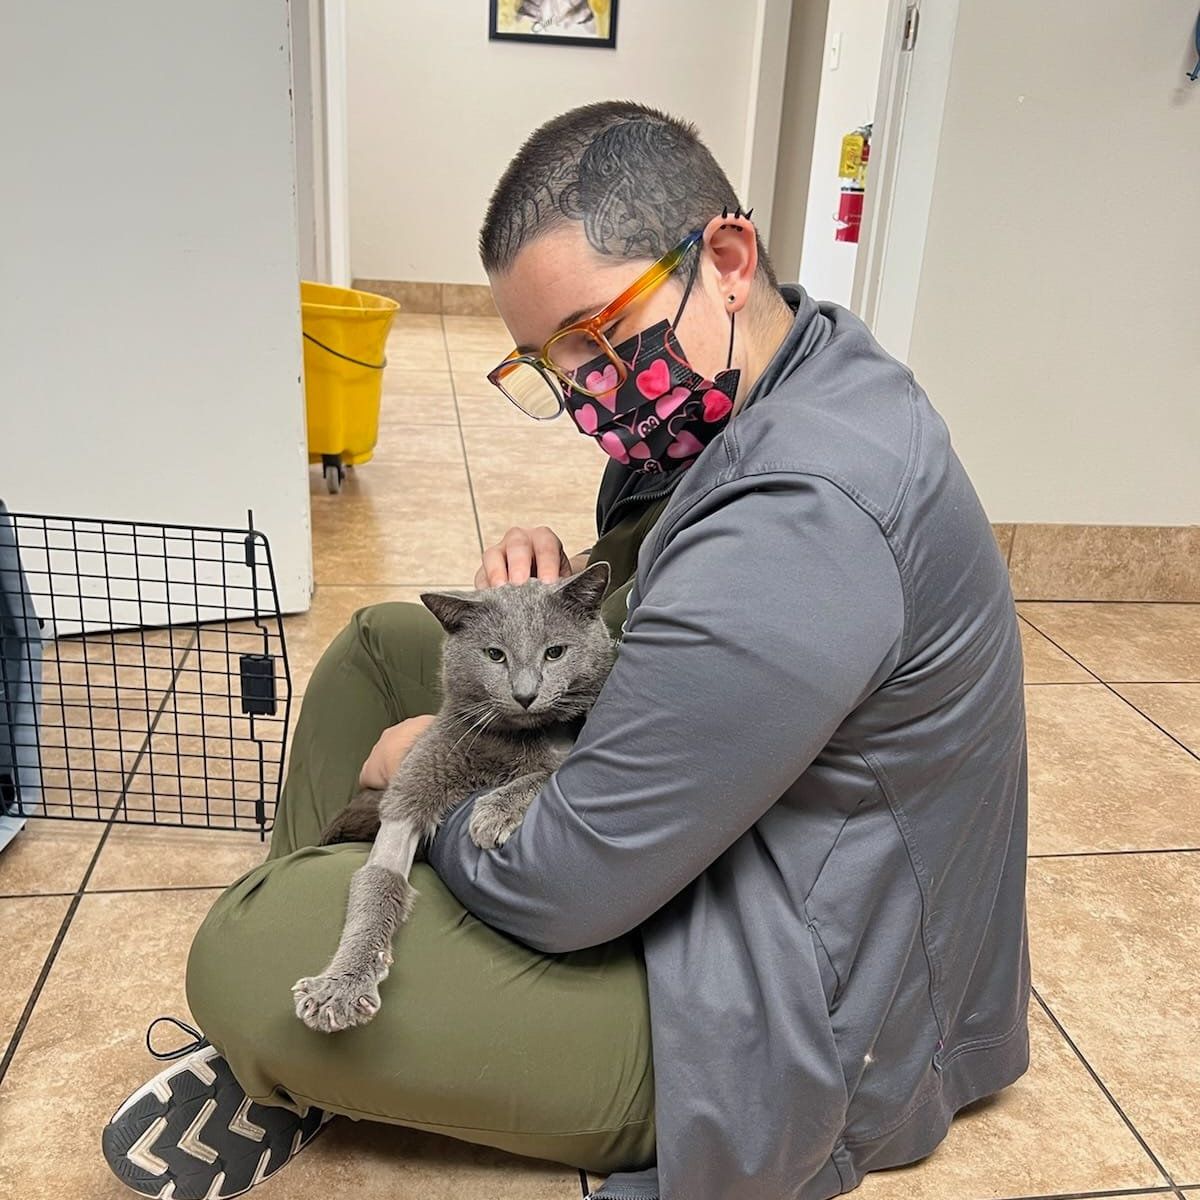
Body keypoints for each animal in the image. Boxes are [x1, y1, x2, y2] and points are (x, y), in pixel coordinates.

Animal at [288, 566, 609, 1036]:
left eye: (555, 652)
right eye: (494, 655)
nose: (526, 694)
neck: (509, 744)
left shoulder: (573, 754)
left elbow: (547, 775)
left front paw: (492, 813)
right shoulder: (413, 786)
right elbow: (379, 882)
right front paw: (340, 988)